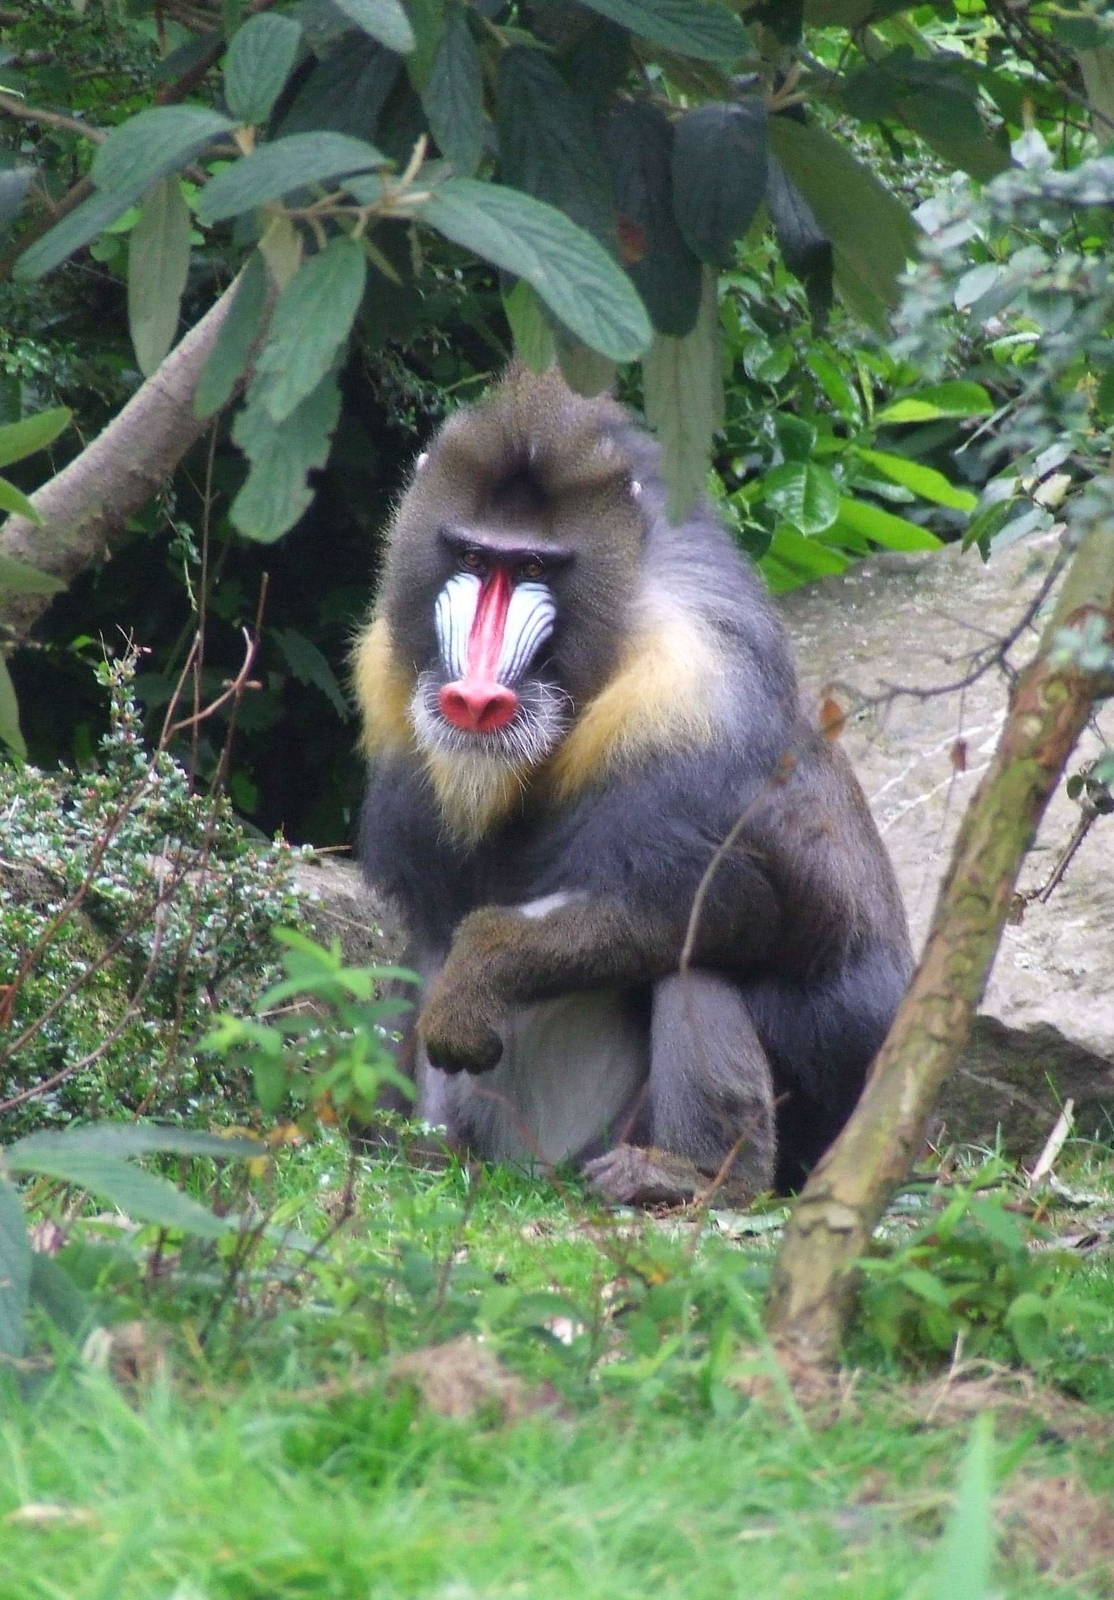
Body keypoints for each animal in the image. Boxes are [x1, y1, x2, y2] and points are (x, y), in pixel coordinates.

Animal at [353, 366, 912, 1204]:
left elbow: (705, 901)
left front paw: (476, 976)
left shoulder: (688, 697)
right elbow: (430, 928)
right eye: (474, 558)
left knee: (697, 960)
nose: (475, 698)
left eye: (536, 569)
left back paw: (689, 1176)